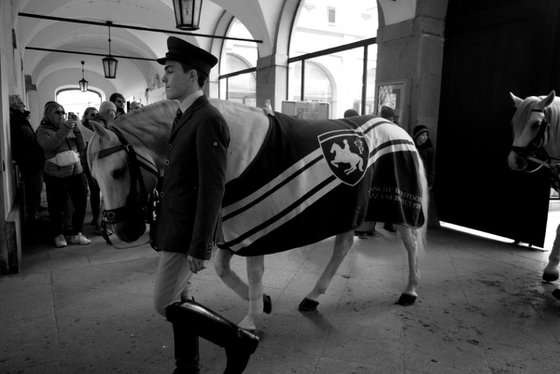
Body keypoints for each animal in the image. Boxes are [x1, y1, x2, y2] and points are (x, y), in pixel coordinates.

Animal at [87, 99, 428, 330]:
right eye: (94, 175)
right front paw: (261, 302)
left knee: (410, 244)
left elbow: (253, 273)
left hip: (399, 208)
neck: (236, 147)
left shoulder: (253, 227)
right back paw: (313, 296)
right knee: (342, 249)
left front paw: (250, 321)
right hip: (349, 210)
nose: (123, 230)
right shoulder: (231, 227)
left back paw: (410, 290)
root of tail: (397, 127)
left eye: (118, 171)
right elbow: (223, 269)